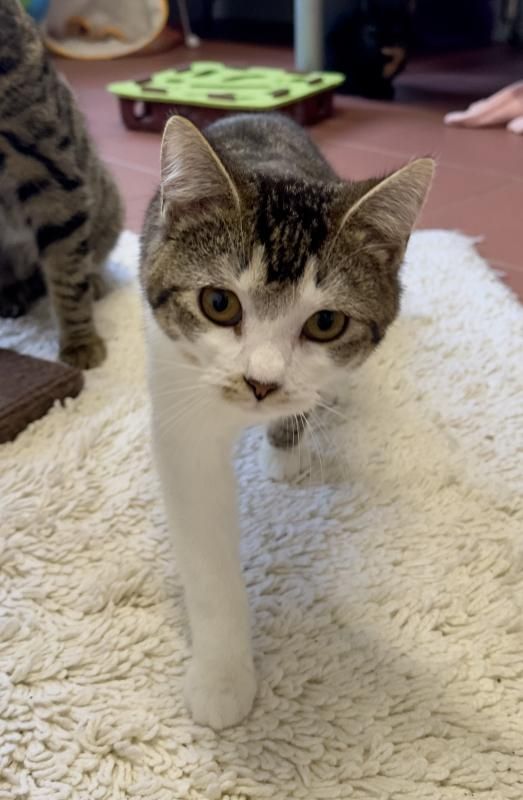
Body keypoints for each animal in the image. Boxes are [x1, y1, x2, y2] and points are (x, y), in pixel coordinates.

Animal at [140, 112, 434, 729]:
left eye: (325, 322)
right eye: (218, 303)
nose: (261, 382)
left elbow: (303, 404)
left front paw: (286, 448)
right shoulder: (181, 403)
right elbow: (206, 550)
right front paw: (222, 678)